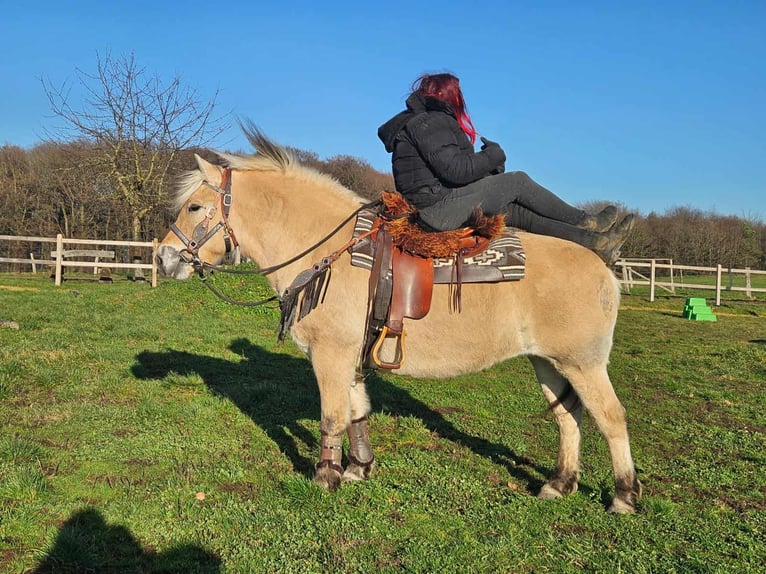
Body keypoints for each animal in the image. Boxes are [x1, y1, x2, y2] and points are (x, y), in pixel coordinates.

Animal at [156, 125, 642, 513]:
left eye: (194, 208)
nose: (164, 258)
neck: (326, 251)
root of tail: (603, 266)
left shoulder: (329, 355)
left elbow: (331, 417)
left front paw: (326, 477)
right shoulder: (348, 357)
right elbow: (357, 412)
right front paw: (358, 468)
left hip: (583, 363)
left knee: (611, 417)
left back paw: (623, 494)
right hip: (549, 362)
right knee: (568, 416)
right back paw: (559, 484)